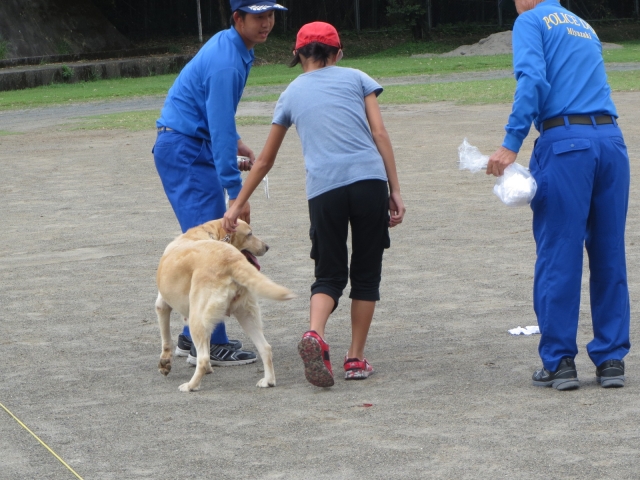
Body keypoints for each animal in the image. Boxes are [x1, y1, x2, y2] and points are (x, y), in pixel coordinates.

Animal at [155, 219, 296, 392]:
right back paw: (268, 381)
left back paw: (191, 386)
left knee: (203, 358)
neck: (207, 232)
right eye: (249, 234)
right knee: (266, 348)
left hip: (197, 320)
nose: (267, 247)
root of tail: (230, 259)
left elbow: (166, 339)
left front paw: (165, 363)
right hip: (246, 315)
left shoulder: (162, 305)